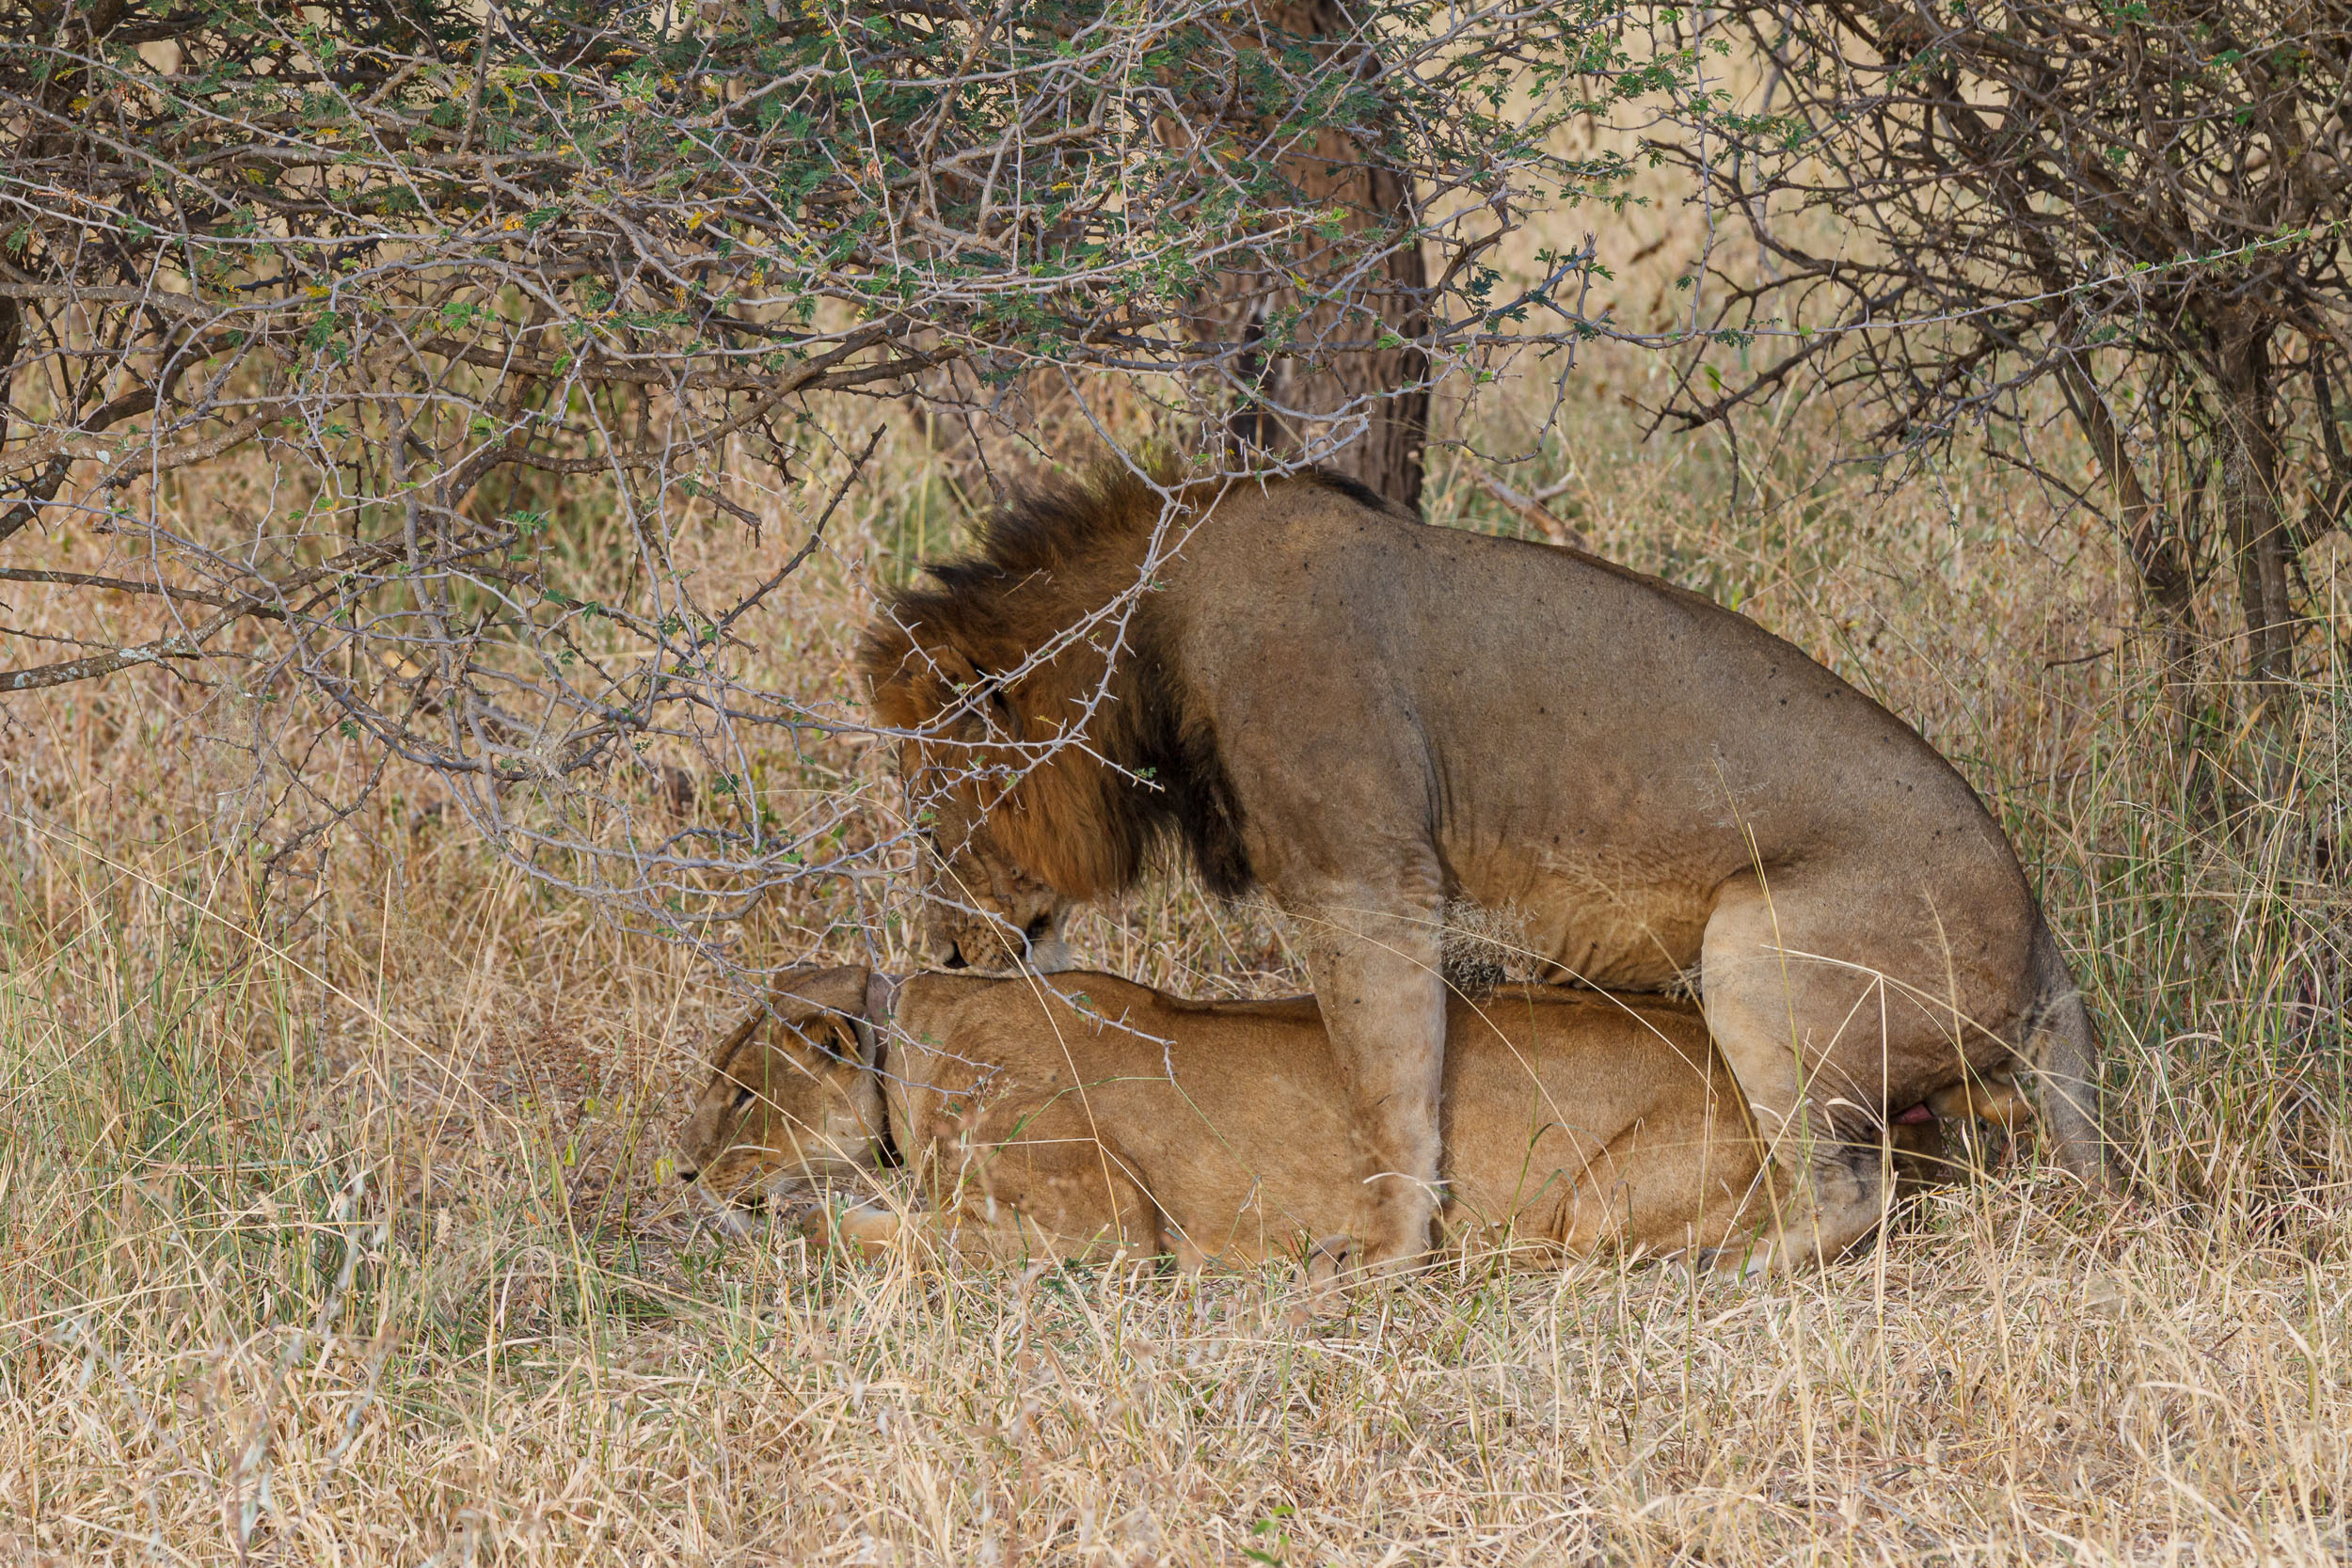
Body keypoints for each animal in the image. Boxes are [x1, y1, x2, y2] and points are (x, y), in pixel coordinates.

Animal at [857, 466, 2107, 1273]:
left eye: (932, 827)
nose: (948, 953)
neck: (1158, 634)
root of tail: (2048, 954)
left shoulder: (1363, 873)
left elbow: (1386, 1081)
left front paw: (1386, 1254)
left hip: (1756, 947)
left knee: (1848, 1191)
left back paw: (1708, 1279)